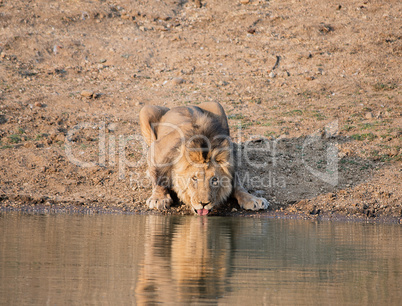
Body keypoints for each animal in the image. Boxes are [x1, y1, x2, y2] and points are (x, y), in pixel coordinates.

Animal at [140, 101, 268, 215]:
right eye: (194, 178)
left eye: (214, 180)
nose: (203, 203)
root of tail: (182, 105)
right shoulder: (156, 152)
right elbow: (158, 177)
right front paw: (158, 199)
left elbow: (238, 186)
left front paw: (253, 199)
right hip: (146, 110)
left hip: (217, 105)